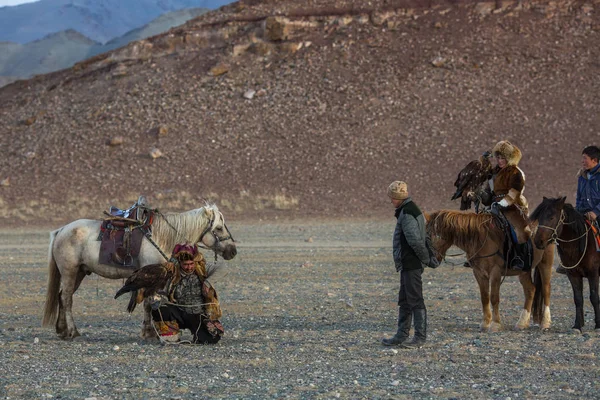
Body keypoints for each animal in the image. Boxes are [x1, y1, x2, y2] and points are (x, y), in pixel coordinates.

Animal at [42, 205, 237, 340]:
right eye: (219, 228)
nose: (233, 251)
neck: (161, 236)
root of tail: (62, 230)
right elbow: (149, 304)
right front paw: (150, 333)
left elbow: (149, 304)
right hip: (70, 272)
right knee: (67, 298)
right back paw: (72, 331)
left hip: (80, 273)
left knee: (61, 297)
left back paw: (62, 330)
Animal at [532, 196, 596, 332]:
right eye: (539, 218)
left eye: (551, 217)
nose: (538, 241)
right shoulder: (573, 275)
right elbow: (578, 299)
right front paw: (578, 325)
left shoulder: (593, 273)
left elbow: (594, 297)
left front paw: (598, 325)